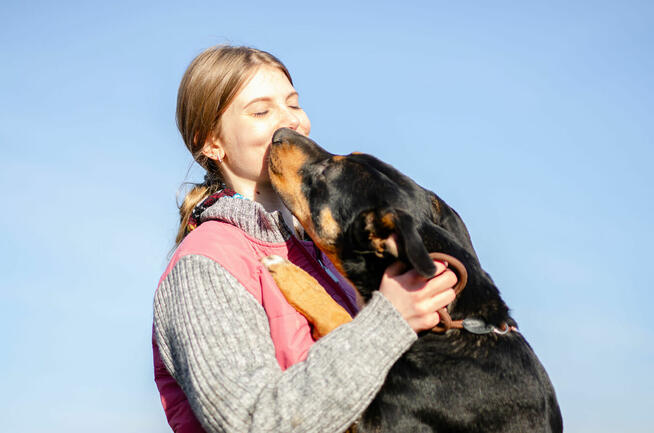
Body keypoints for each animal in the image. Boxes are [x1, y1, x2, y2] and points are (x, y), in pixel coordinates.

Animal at [266, 126, 564, 430]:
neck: (457, 324)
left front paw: (292, 275)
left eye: (326, 172)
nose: (279, 133)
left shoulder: (373, 421)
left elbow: (342, 318)